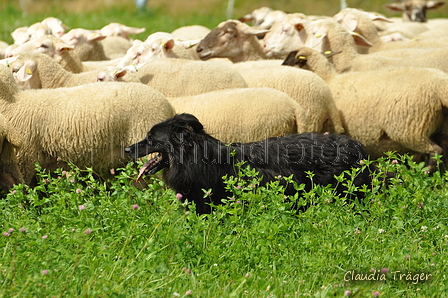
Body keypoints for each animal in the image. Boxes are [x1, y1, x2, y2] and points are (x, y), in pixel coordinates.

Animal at [282, 46, 448, 172]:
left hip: (410, 128)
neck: (328, 78)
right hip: (439, 128)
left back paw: (424, 173)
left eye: (290, 61)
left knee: (435, 151)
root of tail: (440, 86)